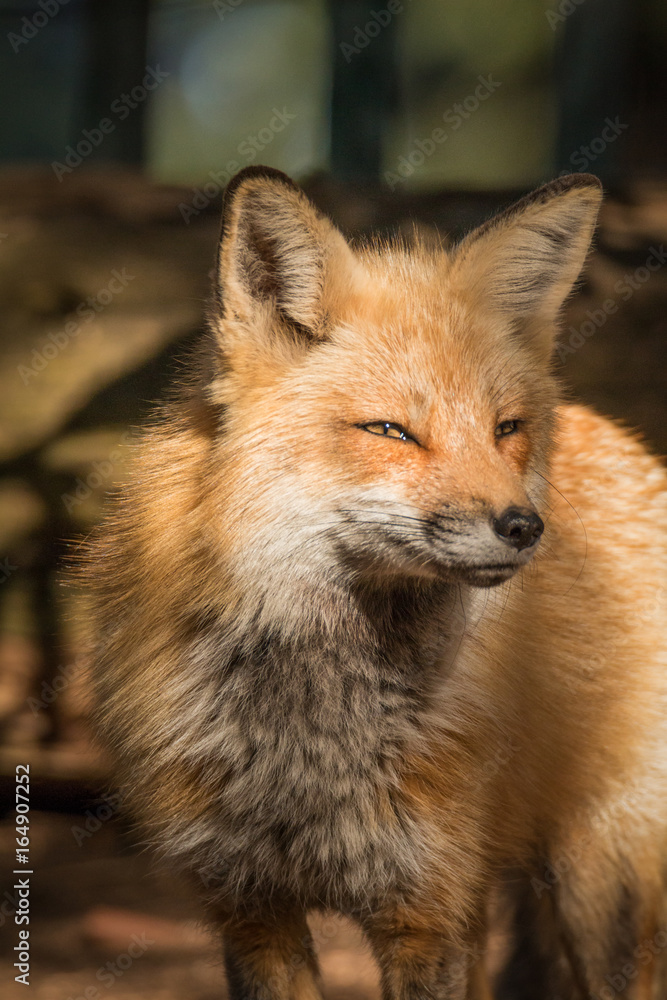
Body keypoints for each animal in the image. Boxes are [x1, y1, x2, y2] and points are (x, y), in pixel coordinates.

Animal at [83, 168, 667, 996]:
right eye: (390, 432)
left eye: (506, 429)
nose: (524, 527)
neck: (309, 733)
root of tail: (623, 436)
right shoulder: (250, 909)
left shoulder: (424, 912)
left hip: (597, 880)